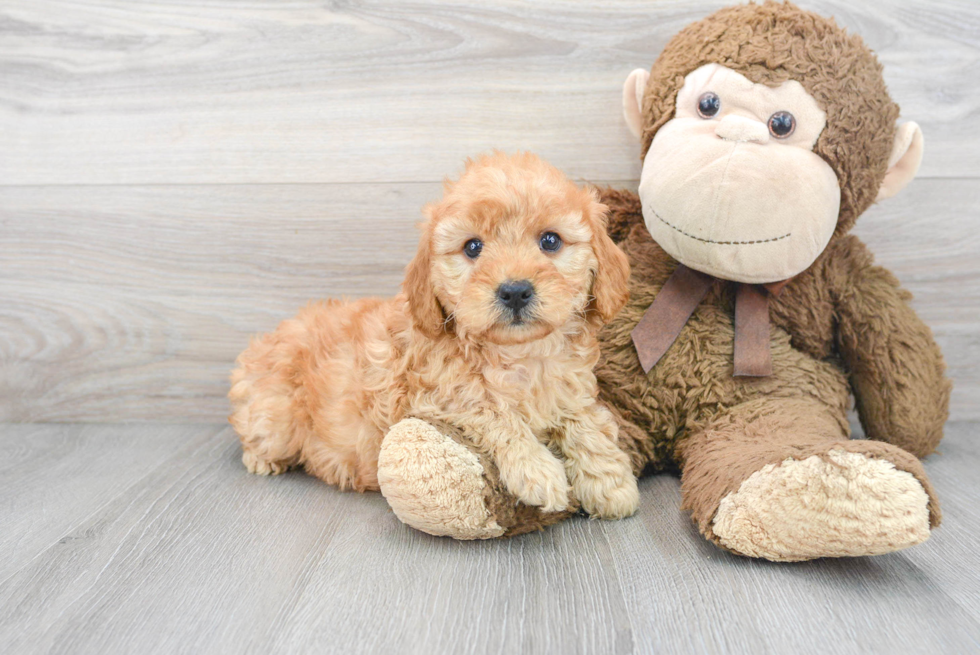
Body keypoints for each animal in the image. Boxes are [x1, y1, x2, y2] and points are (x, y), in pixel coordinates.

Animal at [231, 151, 644, 520]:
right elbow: (495, 412)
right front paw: (537, 471)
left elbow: (584, 419)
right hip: (276, 418)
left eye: (551, 241)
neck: (519, 355)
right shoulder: (438, 397)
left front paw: (609, 481)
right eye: (473, 247)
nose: (514, 291)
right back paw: (262, 460)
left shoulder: (570, 387)